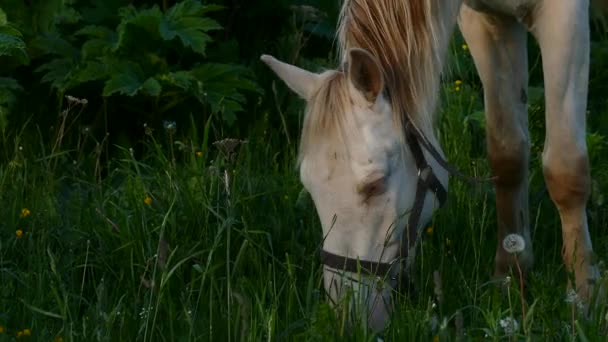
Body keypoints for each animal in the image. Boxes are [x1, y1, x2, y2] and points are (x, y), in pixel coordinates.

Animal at [260, 0, 600, 332]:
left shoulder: (565, 17)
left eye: (374, 184)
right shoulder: (487, 21)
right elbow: (508, 155)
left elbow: (565, 169)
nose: (347, 317)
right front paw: (509, 277)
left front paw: (583, 298)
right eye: (310, 188)